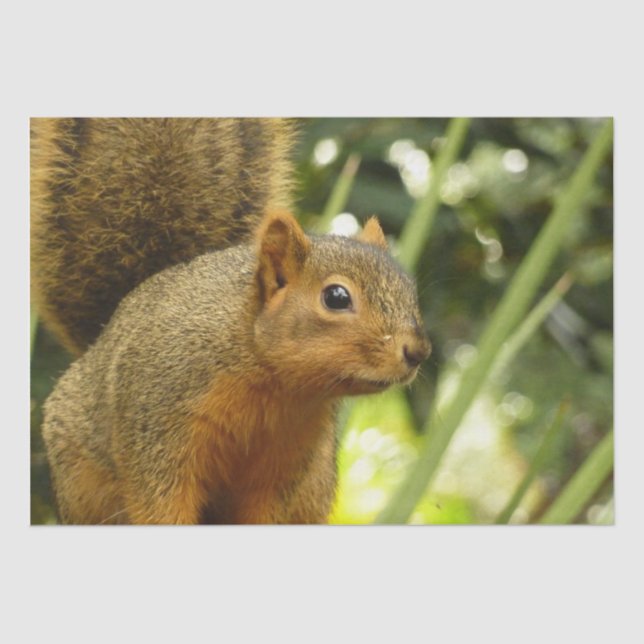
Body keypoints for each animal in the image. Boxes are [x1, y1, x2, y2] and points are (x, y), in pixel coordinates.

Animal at [31, 117, 431, 525]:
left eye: (409, 289)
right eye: (336, 297)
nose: (418, 351)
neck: (273, 382)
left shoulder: (287, 463)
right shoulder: (159, 423)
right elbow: (160, 503)